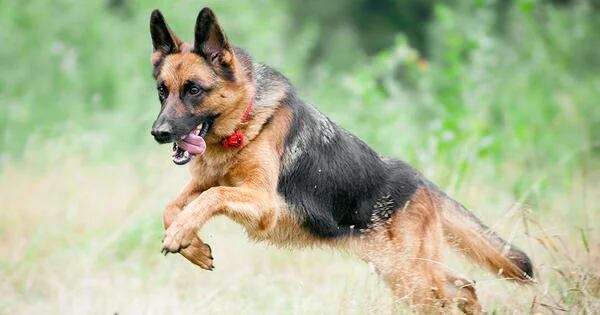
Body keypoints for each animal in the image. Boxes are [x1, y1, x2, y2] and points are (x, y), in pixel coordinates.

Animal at [150, 6, 536, 314]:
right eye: (162, 91)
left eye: (194, 90)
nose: (158, 133)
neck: (245, 122)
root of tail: (418, 181)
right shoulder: (205, 185)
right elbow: (172, 207)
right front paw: (192, 245)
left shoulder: (262, 204)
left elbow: (211, 198)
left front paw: (182, 234)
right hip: (399, 271)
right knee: (464, 286)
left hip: (410, 275)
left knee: (452, 291)